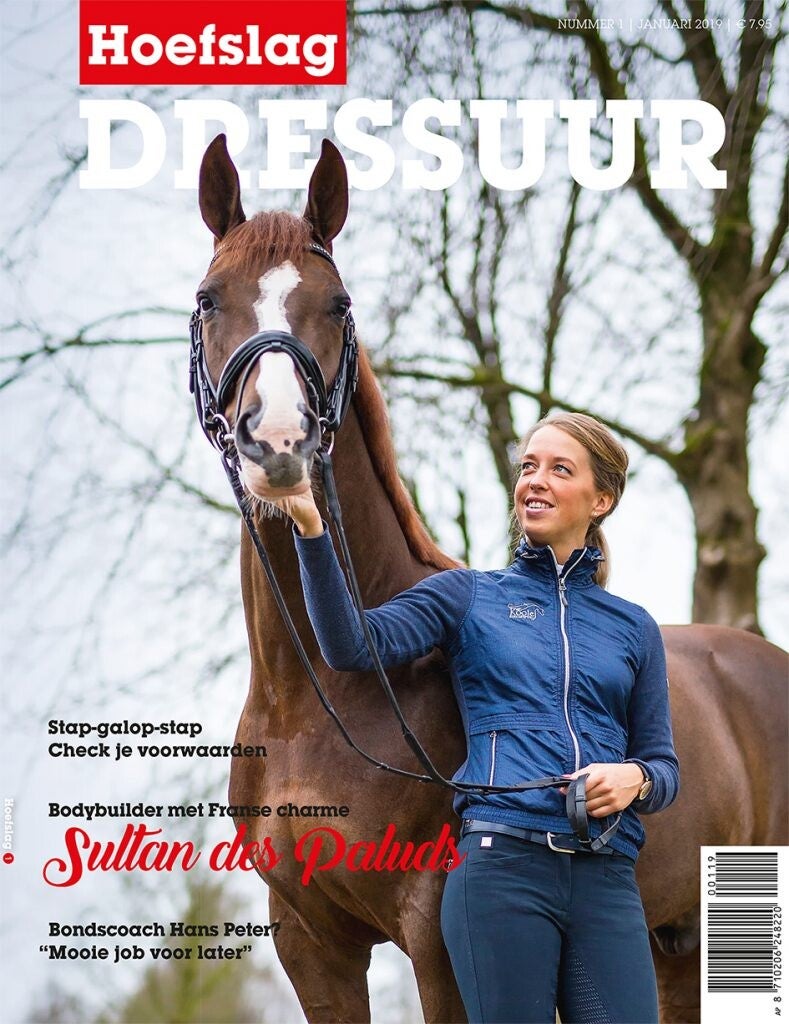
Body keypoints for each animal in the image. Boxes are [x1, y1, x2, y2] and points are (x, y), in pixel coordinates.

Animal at [193, 134, 788, 1024]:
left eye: (337, 304)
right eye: (208, 299)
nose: (278, 445)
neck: (317, 702)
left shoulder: (436, 936)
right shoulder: (309, 942)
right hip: (673, 942)